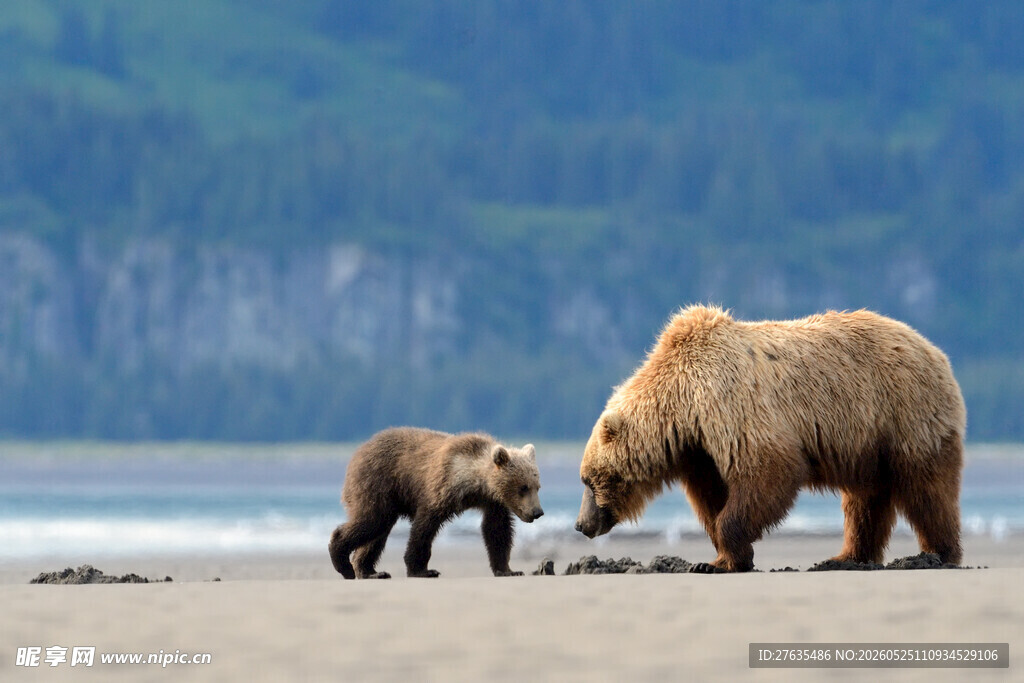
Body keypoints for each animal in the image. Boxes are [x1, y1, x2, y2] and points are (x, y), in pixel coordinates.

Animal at [329, 427, 543, 579]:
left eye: (537, 486)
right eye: (523, 487)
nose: (537, 512)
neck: (474, 483)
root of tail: (359, 450)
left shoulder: (492, 503)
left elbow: (497, 531)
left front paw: (508, 569)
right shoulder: (440, 488)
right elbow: (424, 527)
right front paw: (422, 569)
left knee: (377, 532)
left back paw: (370, 571)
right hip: (377, 484)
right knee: (372, 521)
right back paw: (343, 563)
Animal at [575, 305, 966, 572]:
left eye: (588, 480)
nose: (581, 524)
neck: (683, 408)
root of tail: (936, 351)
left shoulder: (731, 407)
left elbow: (769, 472)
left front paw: (724, 557)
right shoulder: (700, 450)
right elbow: (712, 498)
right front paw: (718, 559)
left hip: (905, 414)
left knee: (926, 488)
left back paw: (938, 553)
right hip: (867, 443)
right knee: (866, 500)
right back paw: (847, 557)